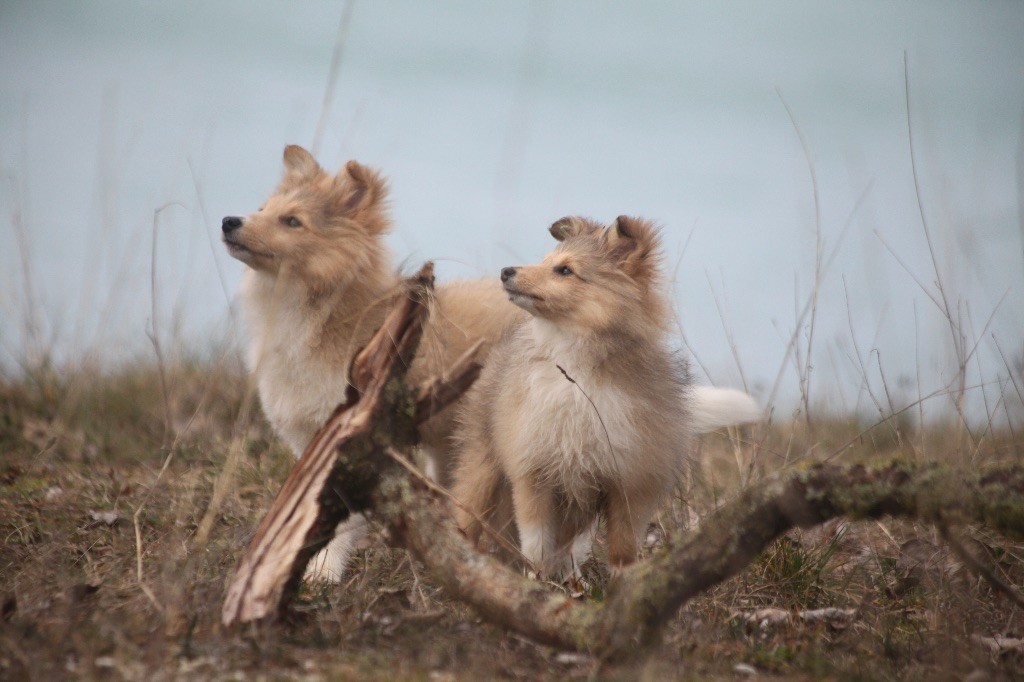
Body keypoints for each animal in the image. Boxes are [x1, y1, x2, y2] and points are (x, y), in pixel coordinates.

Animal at [452, 215, 692, 569]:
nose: (506, 272)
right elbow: (535, 547)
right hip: (482, 467)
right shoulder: (532, 473)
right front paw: (534, 581)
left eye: (565, 270)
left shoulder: (630, 487)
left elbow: (622, 553)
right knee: (464, 516)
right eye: (546, 261)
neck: (575, 374)